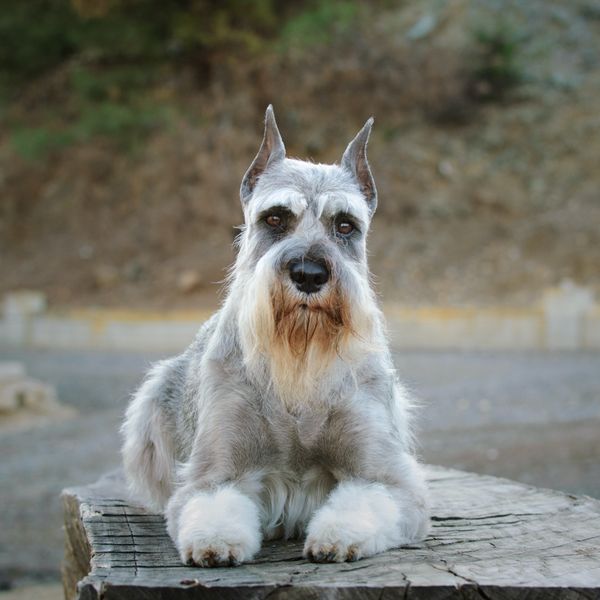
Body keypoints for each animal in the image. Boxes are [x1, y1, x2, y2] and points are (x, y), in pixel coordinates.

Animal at [122, 108, 428, 568]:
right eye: (275, 218)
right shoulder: (216, 475)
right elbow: (212, 505)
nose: (309, 274)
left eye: (345, 225)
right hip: (152, 403)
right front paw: (215, 541)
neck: (299, 362)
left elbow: (366, 501)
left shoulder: (387, 480)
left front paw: (336, 535)